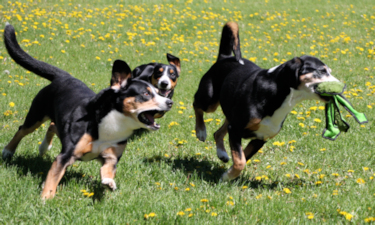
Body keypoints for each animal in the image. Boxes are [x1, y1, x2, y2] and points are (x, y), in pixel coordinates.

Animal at [2, 22, 173, 199]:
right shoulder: (65, 156)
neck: (112, 124)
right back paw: (8, 151)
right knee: (22, 130)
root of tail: (64, 76)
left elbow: (107, 172)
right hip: (36, 114)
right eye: (146, 94)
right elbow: (53, 179)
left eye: (159, 92)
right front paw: (45, 199)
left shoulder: (111, 157)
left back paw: (44, 147)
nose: (170, 102)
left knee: (53, 126)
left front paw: (108, 183)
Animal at [195, 22, 342, 181]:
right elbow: (240, 161)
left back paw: (221, 153)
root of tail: (225, 57)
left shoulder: (260, 137)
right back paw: (201, 131)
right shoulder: (235, 129)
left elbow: (242, 158)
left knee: (218, 132)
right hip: (209, 100)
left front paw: (227, 175)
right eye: (322, 71)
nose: (342, 87)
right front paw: (227, 177)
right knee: (197, 105)